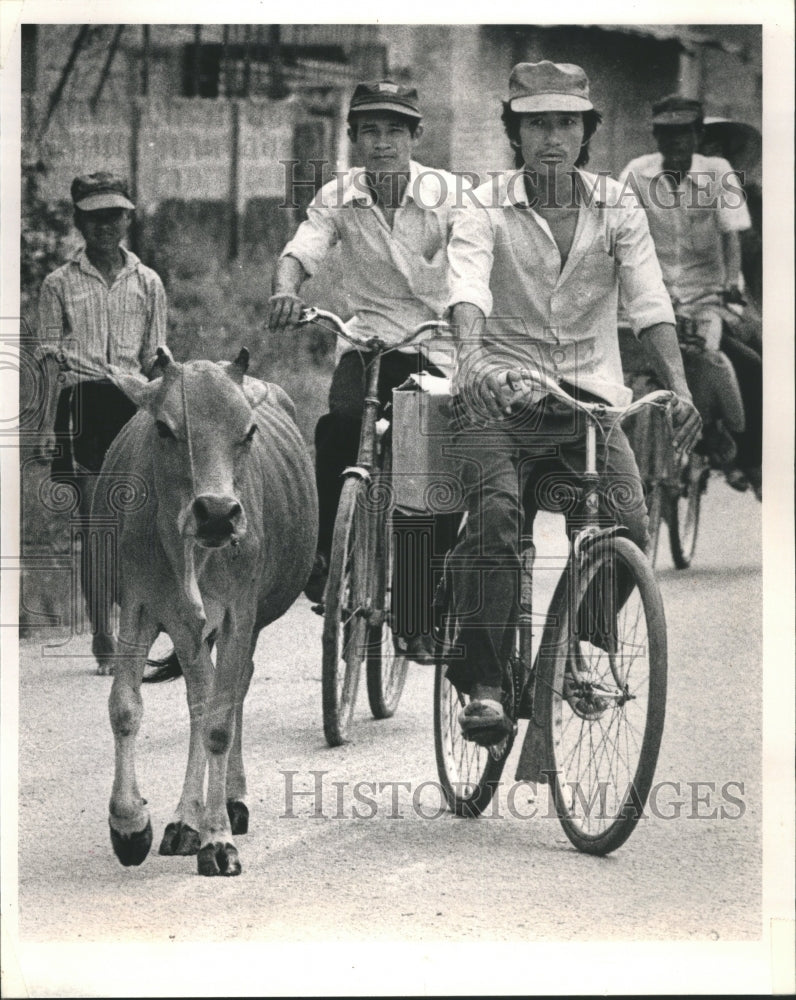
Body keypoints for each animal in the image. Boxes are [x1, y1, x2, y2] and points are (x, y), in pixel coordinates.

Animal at [91, 350, 316, 876]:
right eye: (164, 427)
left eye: (249, 431)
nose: (216, 512)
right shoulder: (143, 608)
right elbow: (127, 708)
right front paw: (130, 825)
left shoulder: (238, 614)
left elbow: (219, 722)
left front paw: (218, 838)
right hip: (190, 628)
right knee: (202, 695)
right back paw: (183, 822)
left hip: (248, 622)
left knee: (231, 695)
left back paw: (229, 804)